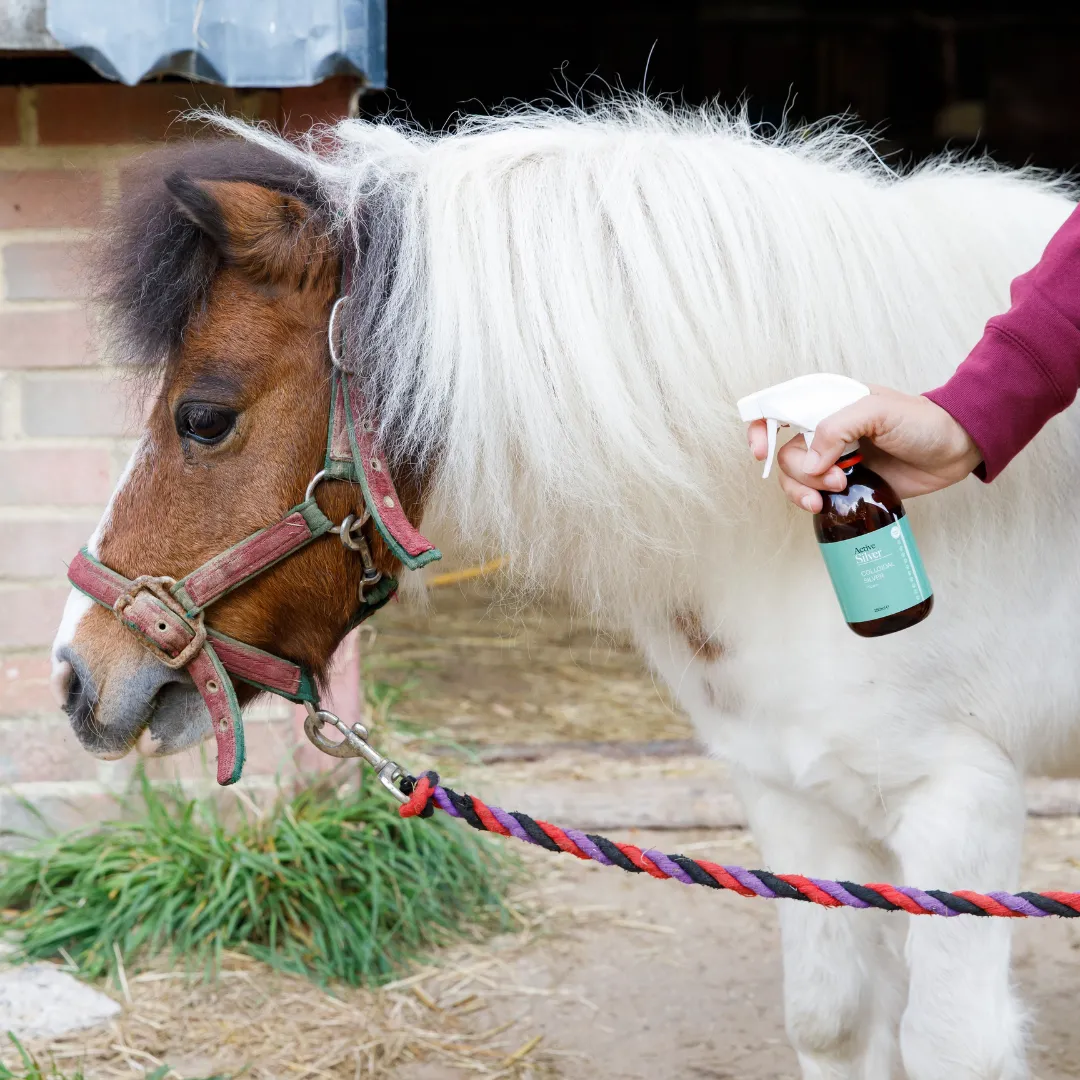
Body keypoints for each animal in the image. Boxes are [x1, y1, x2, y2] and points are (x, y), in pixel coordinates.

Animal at [48, 105, 1080, 1075]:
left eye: (204, 417)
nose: (75, 676)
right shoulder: (794, 789)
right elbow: (831, 1021)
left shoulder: (957, 806)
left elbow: (947, 1044)